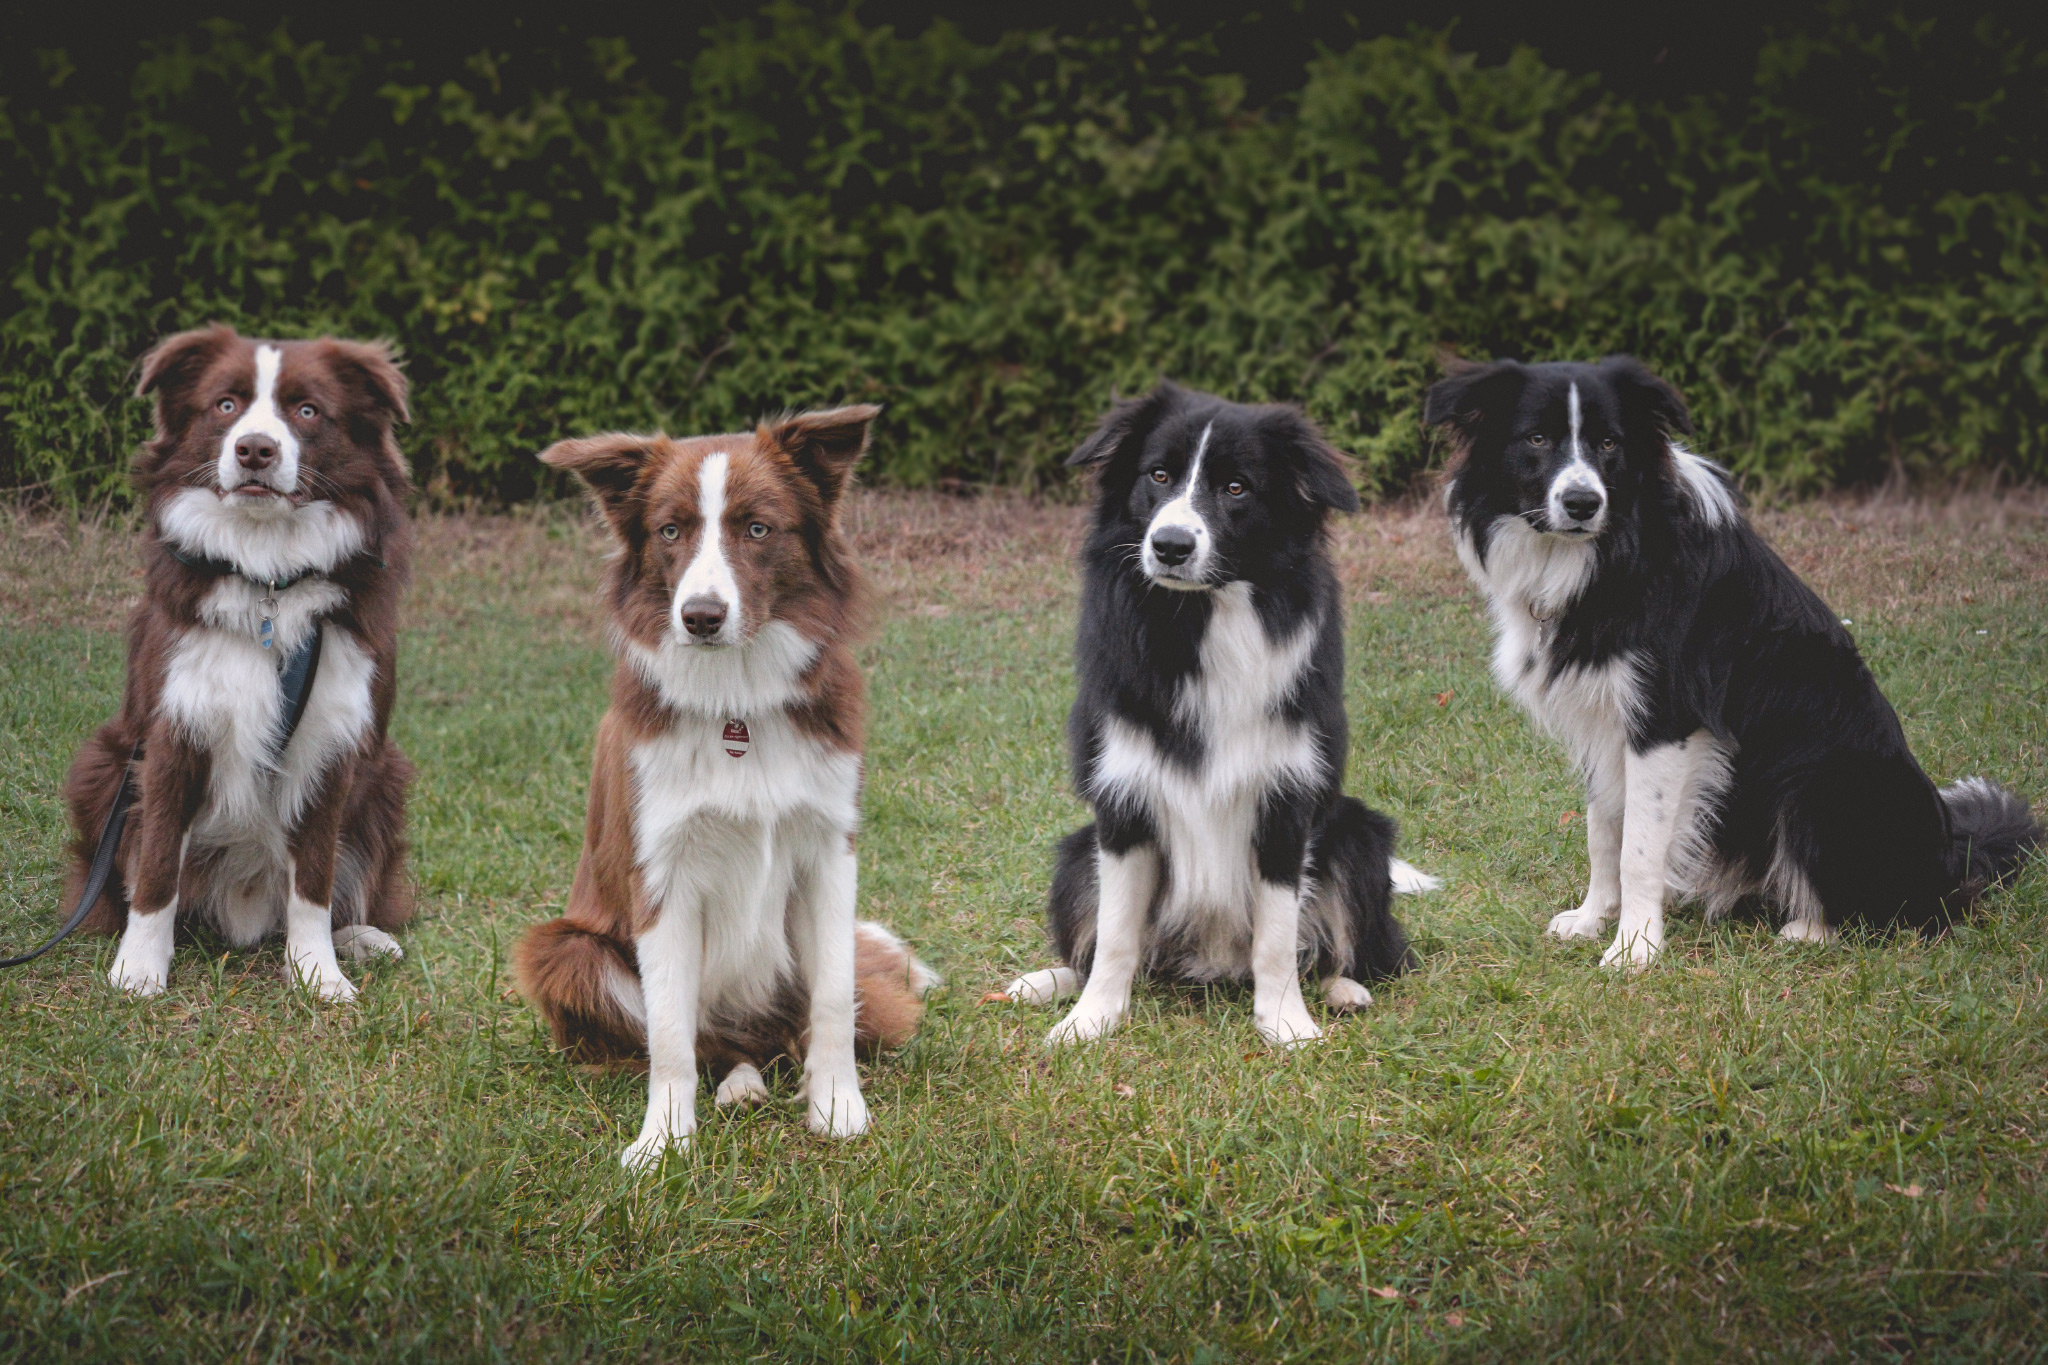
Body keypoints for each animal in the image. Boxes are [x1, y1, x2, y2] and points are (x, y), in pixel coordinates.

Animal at [66, 325, 415, 998]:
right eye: (225, 405)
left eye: (307, 411)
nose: (255, 450)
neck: (267, 575)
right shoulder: (175, 726)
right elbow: (156, 863)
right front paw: (140, 968)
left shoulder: (330, 739)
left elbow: (314, 875)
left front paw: (316, 973)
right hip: (104, 764)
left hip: (386, 777)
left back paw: (361, 936)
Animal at [516, 411, 933, 1170]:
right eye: (669, 531)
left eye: (758, 528)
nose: (701, 616)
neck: (737, 704)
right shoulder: (662, 875)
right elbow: (670, 1033)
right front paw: (662, 1138)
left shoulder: (829, 852)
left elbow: (832, 1000)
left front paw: (838, 1107)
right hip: (566, 950)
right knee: (710, 1039)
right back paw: (738, 1084)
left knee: (790, 1030)